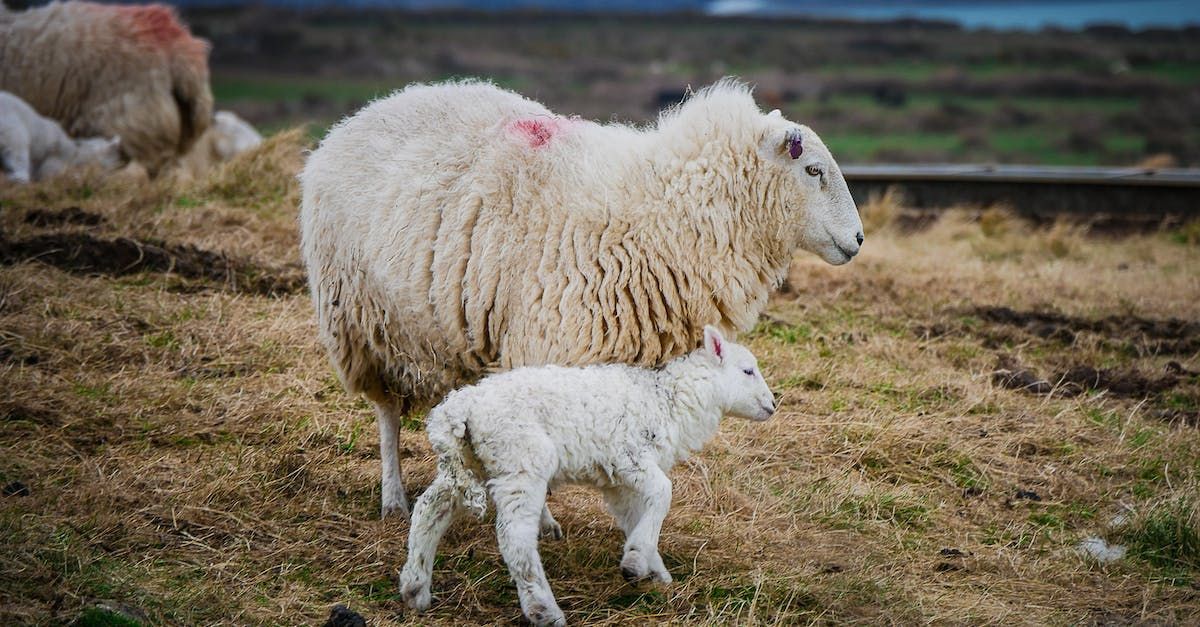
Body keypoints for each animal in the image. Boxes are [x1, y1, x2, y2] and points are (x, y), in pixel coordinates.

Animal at [300, 79, 864, 516]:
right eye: (813, 169)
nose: (858, 240)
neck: (663, 212)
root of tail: (356, 119)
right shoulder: (549, 345)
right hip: (361, 321)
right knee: (388, 415)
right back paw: (393, 497)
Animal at [400, 324, 777, 619]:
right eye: (747, 371)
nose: (773, 405)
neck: (669, 399)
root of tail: (460, 406)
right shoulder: (629, 456)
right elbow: (663, 493)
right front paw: (637, 560)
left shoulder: (618, 481)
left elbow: (635, 515)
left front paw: (651, 568)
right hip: (521, 459)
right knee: (515, 538)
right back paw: (544, 611)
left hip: (469, 461)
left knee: (430, 508)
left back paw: (415, 587)